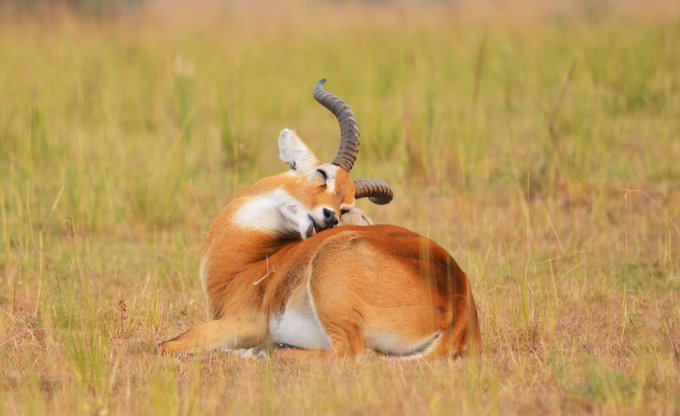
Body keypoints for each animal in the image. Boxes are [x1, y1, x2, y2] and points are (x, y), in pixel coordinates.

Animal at [159, 80, 481, 359]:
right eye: (323, 173)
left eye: (346, 206)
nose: (329, 218)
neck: (250, 262)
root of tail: (458, 304)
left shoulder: (241, 322)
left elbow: (167, 344)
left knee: (348, 354)